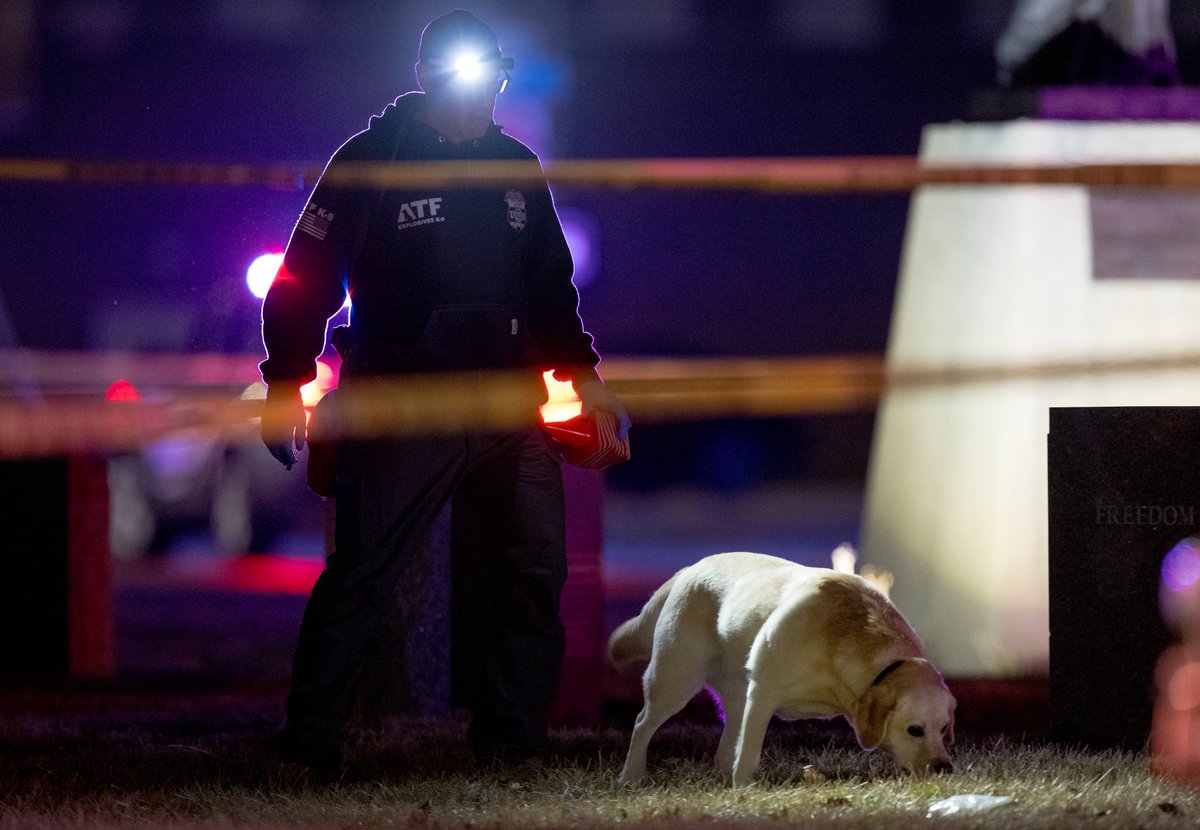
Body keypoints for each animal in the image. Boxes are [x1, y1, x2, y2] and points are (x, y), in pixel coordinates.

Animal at [609, 551, 955, 786]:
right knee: (643, 723)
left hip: (736, 694)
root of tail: (689, 569)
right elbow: (749, 754)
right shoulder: (764, 692)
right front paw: (744, 790)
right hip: (675, 680)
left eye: (943, 729)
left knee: (727, 742)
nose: (945, 768)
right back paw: (631, 776)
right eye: (914, 729)